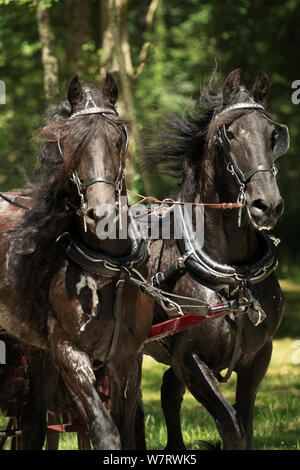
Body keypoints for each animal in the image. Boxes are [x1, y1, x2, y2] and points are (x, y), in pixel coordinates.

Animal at [0, 72, 154, 448]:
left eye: (118, 139)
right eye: (69, 144)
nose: (101, 214)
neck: (110, 270)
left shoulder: (128, 358)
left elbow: (127, 429)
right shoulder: (68, 352)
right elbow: (104, 431)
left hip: (35, 350)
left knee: (34, 421)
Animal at [145, 69, 288, 448]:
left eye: (273, 135)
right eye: (231, 134)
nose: (267, 205)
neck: (234, 276)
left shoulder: (259, 357)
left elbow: (245, 426)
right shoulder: (189, 358)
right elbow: (230, 426)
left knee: (164, 391)